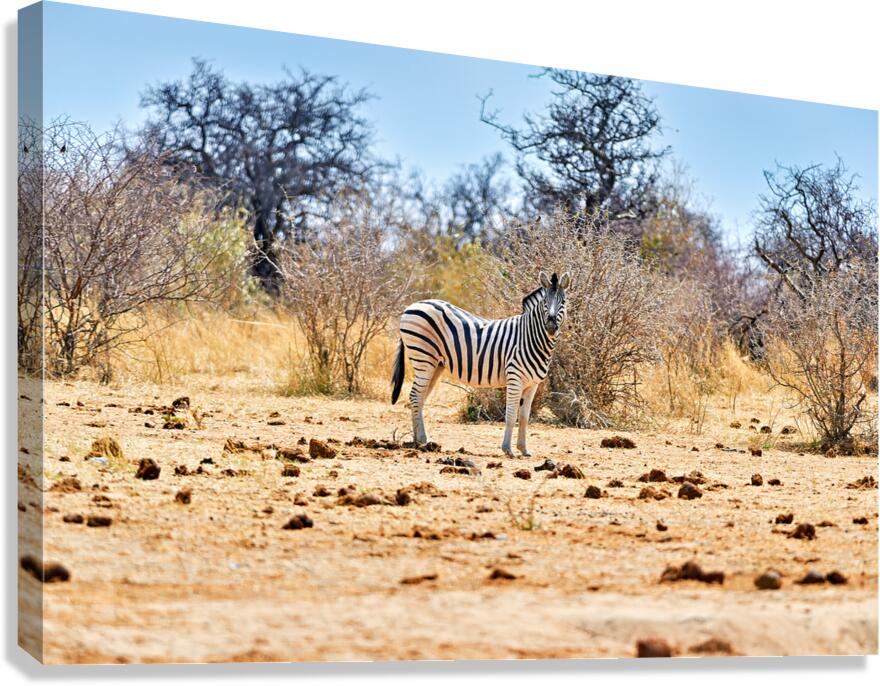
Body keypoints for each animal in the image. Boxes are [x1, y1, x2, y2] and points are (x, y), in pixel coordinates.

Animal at [390, 271, 571, 456]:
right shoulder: (515, 378)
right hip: (423, 357)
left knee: (419, 397)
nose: (551, 327)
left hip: (435, 364)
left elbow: (524, 417)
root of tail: (413, 305)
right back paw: (422, 440)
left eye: (563, 302)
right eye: (545, 302)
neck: (529, 337)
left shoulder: (532, 384)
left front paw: (523, 449)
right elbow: (511, 415)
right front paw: (508, 449)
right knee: (415, 395)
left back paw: (417, 440)